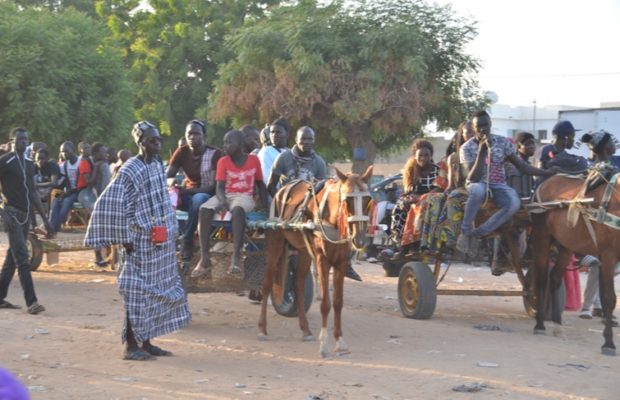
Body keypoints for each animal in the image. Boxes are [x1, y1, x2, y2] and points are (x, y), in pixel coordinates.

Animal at [258, 166, 372, 356]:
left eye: (368, 199)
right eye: (347, 199)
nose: (360, 239)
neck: (331, 218)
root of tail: (282, 190)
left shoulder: (340, 262)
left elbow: (338, 302)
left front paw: (339, 341)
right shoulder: (322, 260)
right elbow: (325, 304)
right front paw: (324, 344)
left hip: (304, 252)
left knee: (298, 284)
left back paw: (305, 330)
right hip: (275, 243)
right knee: (267, 284)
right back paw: (262, 329)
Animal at [528, 173, 620, 354]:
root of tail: (547, 180)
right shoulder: (609, 255)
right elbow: (609, 298)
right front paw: (608, 343)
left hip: (566, 244)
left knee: (555, 279)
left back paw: (557, 323)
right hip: (541, 237)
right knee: (541, 280)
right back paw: (540, 324)